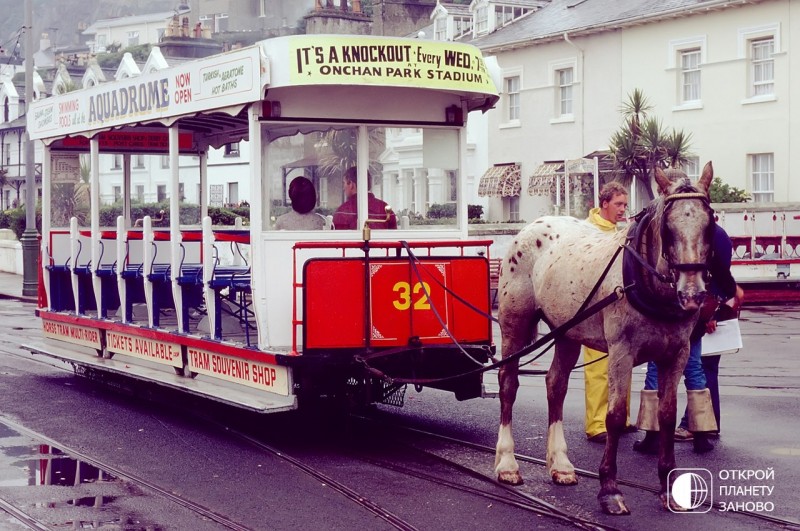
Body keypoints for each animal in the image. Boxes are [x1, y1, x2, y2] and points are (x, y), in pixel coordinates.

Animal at [494, 163, 712, 516]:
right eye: (668, 226)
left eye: (710, 222)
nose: (692, 294)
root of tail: (532, 228)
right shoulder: (621, 352)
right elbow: (615, 416)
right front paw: (609, 489)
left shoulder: (677, 352)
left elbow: (666, 413)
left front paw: (668, 485)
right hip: (515, 322)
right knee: (508, 384)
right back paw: (507, 464)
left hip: (567, 330)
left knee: (556, 385)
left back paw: (561, 465)